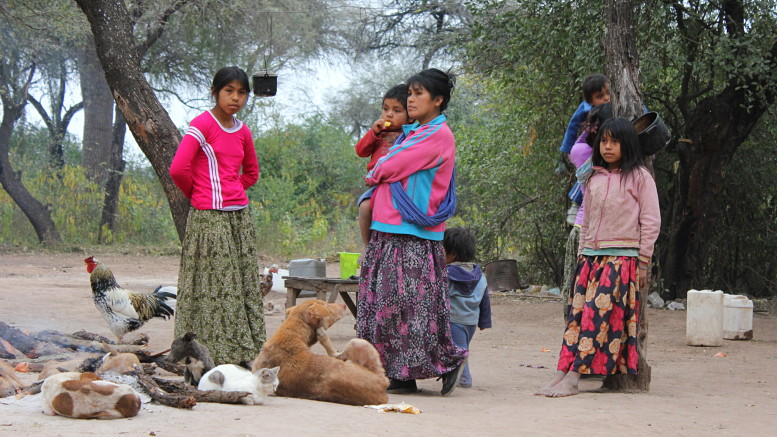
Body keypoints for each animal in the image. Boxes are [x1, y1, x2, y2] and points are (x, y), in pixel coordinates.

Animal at [252, 300, 388, 406]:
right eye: (326, 305)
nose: (344, 305)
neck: (291, 333)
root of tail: (382, 385)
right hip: (357, 342)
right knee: (336, 353)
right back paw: (322, 335)